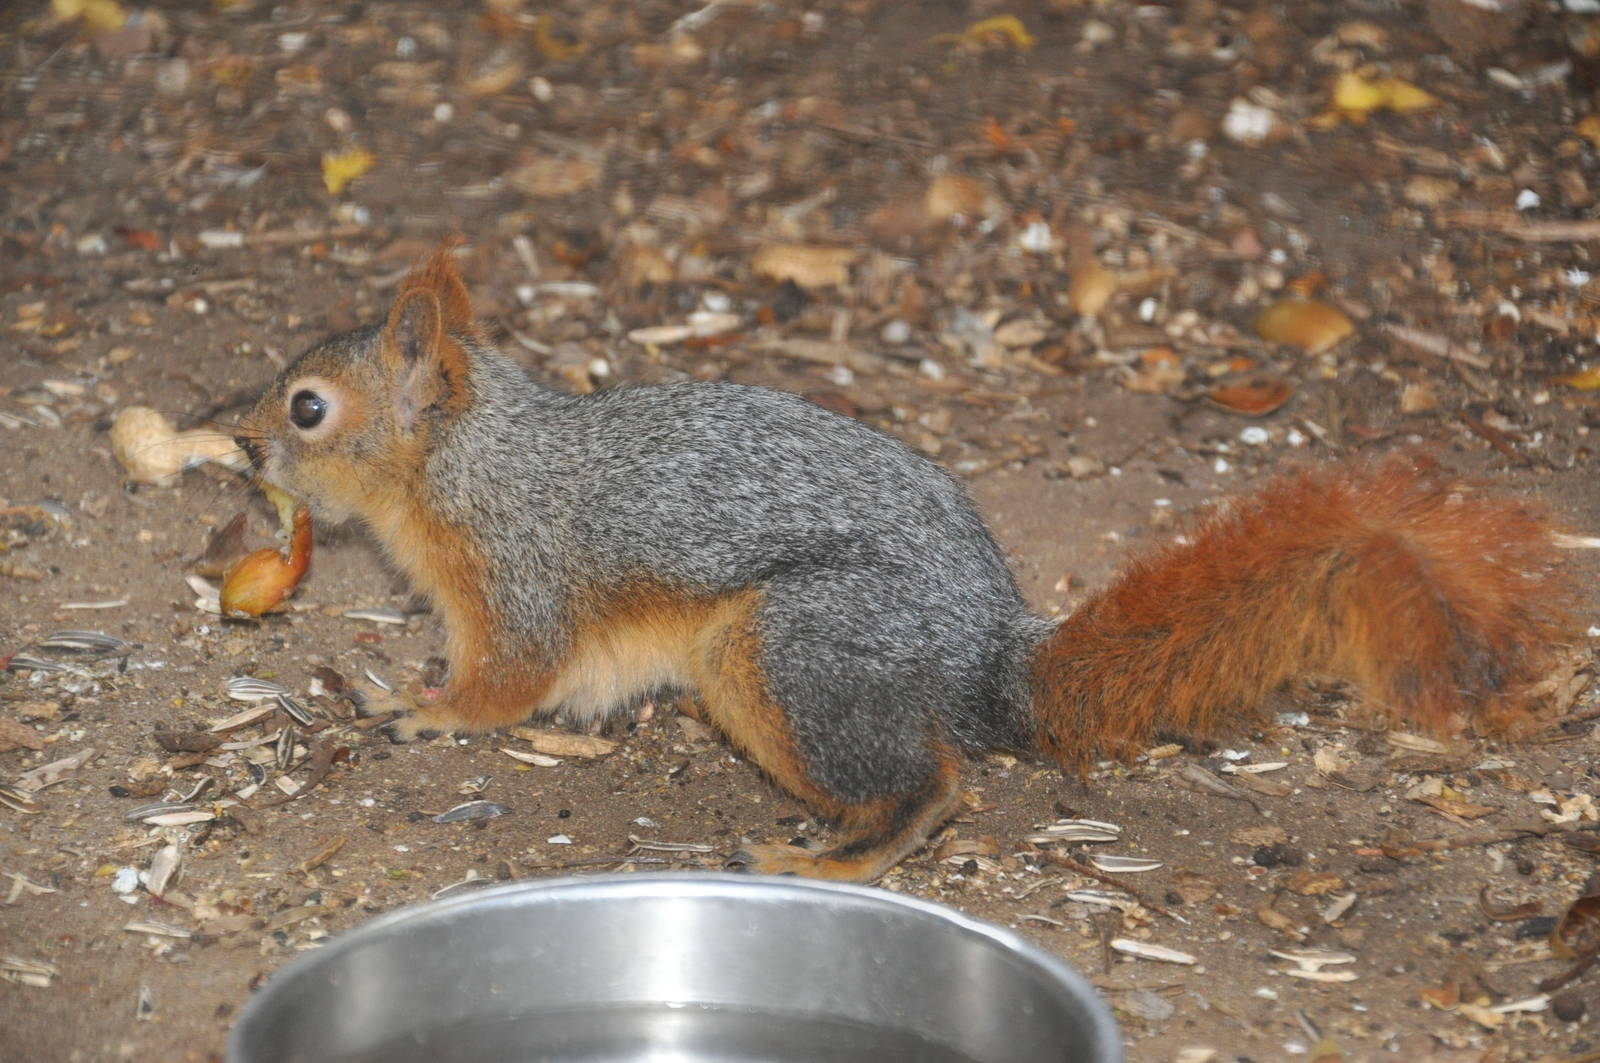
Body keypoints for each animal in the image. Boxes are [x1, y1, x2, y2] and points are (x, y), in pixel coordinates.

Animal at [233, 244, 1575, 882]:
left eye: (308, 408)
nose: (238, 443)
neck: (464, 466)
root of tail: (983, 656)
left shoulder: (519, 578)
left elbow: (506, 682)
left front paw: (421, 708)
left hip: (785, 648)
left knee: (929, 785)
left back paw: (819, 851)